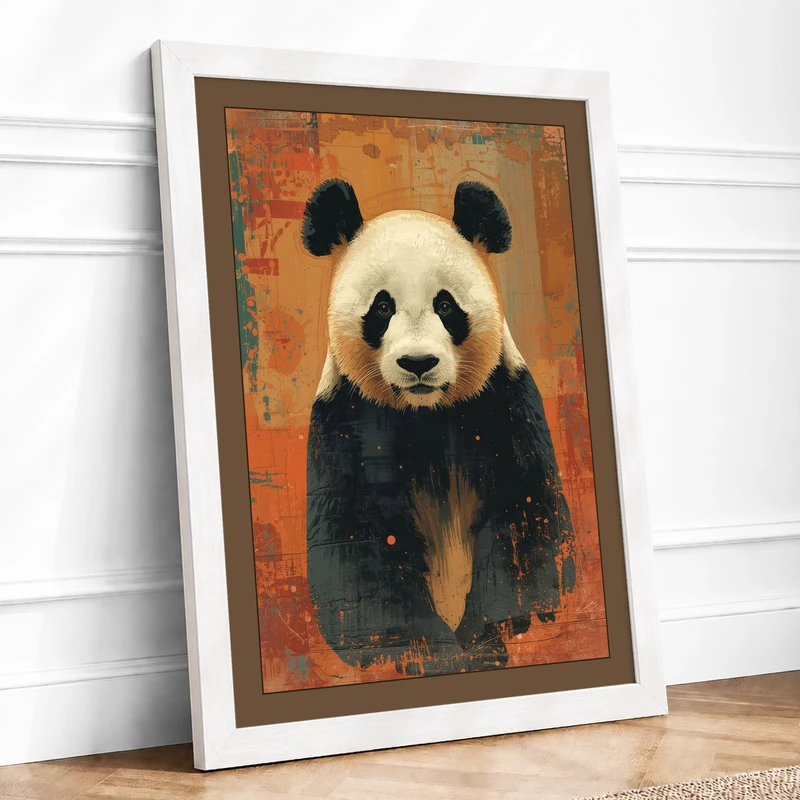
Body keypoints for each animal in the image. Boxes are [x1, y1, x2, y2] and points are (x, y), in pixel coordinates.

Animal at [302, 179, 576, 677]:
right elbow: (353, 548)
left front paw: (487, 638)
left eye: (445, 304)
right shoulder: (344, 422)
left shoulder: (503, 404)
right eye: (382, 307)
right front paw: (433, 653)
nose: (418, 363)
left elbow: (526, 519)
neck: (423, 413)